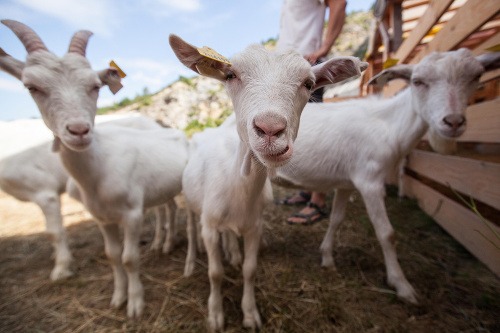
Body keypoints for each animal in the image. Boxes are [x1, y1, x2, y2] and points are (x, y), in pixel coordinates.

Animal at [0, 20, 188, 316]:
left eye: (96, 86)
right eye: (32, 87)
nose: (78, 130)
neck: (100, 169)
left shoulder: (131, 214)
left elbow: (129, 258)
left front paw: (135, 304)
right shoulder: (103, 218)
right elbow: (113, 256)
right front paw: (118, 298)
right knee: (166, 209)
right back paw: (162, 243)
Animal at [168, 33, 368, 330]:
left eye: (309, 84)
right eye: (231, 75)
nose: (270, 129)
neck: (238, 187)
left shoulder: (255, 226)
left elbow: (250, 270)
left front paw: (250, 314)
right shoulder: (210, 225)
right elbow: (215, 273)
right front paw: (215, 315)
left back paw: (232, 253)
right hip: (193, 205)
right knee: (192, 230)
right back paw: (191, 263)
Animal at [274, 48, 500, 304]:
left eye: (476, 76)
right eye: (417, 81)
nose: (453, 122)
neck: (388, 127)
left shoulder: (347, 182)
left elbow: (336, 219)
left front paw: (327, 259)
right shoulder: (370, 180)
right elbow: (387, 234)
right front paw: (402, 285)